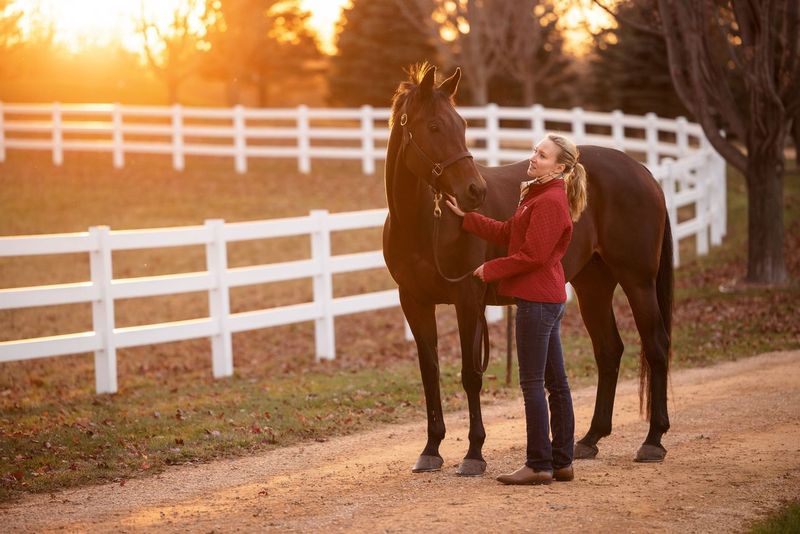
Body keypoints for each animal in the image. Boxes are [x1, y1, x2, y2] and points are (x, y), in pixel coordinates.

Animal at [383, 64, 673, 476]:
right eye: (435, 126)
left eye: (462, 124)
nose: (474, 191)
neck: (425, 224)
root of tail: (644, 173)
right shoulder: (414, 302)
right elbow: (430, 373)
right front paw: (431, 449)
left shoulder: (468, 298)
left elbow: (471, 375)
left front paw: (474, 454)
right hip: (593, 285)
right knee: (609, 350)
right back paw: (589, 439)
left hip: (638, 281)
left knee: (656, 346)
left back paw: (653, 440)